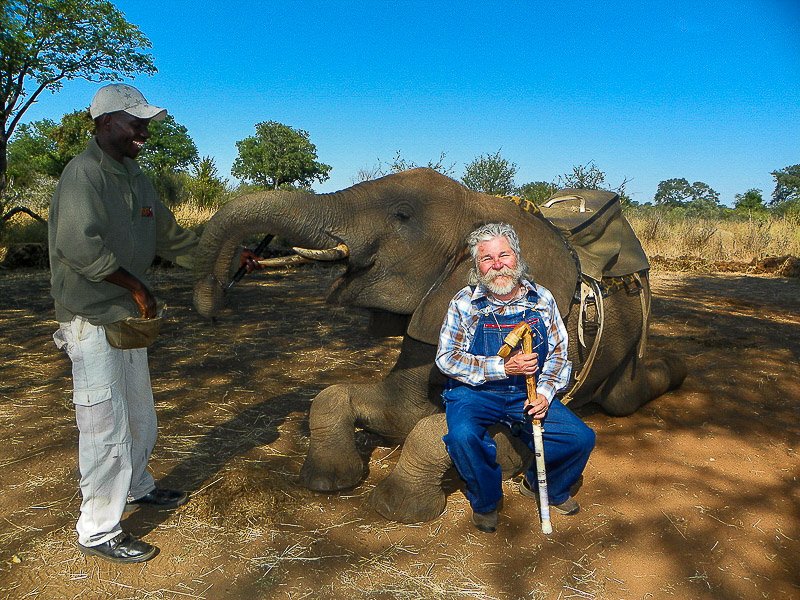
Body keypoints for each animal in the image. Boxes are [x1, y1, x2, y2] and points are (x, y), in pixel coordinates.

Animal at [192, 168, 686, 523]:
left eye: (402, 215)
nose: (211, 300)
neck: (480, 202)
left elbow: (446, 433)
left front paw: (397, 508)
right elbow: (350, 398)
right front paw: (329, 480)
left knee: (620, 398)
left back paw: (677, 369)